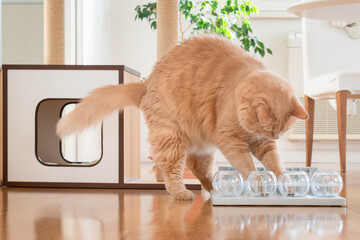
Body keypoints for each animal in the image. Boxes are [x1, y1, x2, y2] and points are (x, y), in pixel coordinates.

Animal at [57, 35, 308, 201]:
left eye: (281, 131)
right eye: (272, 129)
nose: (276, 135)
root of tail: (147, 83)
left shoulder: (263, 145)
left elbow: (277, 166)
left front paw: (286, 184)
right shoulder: (232, 141)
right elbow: (248, 166)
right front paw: (258, 183)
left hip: (202, 148)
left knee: (199, 169)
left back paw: (214, 189)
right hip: (172, 137)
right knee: (173, 171)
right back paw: (183, 193)